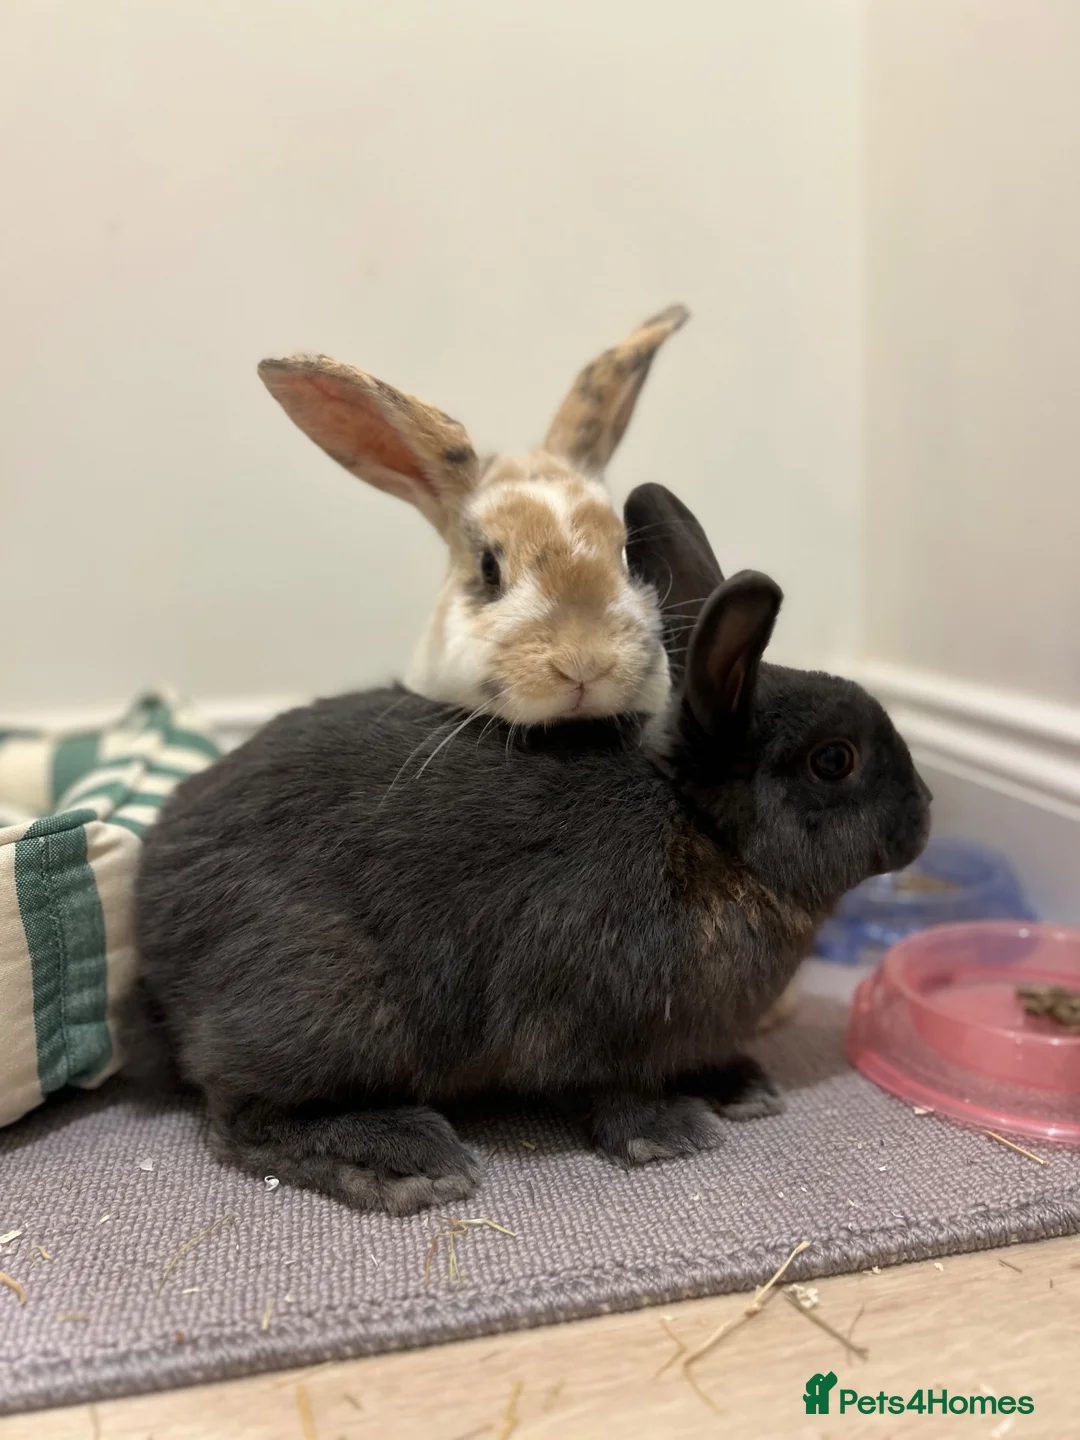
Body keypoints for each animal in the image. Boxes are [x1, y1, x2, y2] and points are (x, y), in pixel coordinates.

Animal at [131, 482, 931, 1215]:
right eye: (834, 761)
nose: (923, 817)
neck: (705, 832)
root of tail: (149, 929)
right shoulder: (590, 1019)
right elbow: (611, 1089)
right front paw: (670, 1132)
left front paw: (744, 1085)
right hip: (332, 1003)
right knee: (241, 1118)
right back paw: (406, 1159)